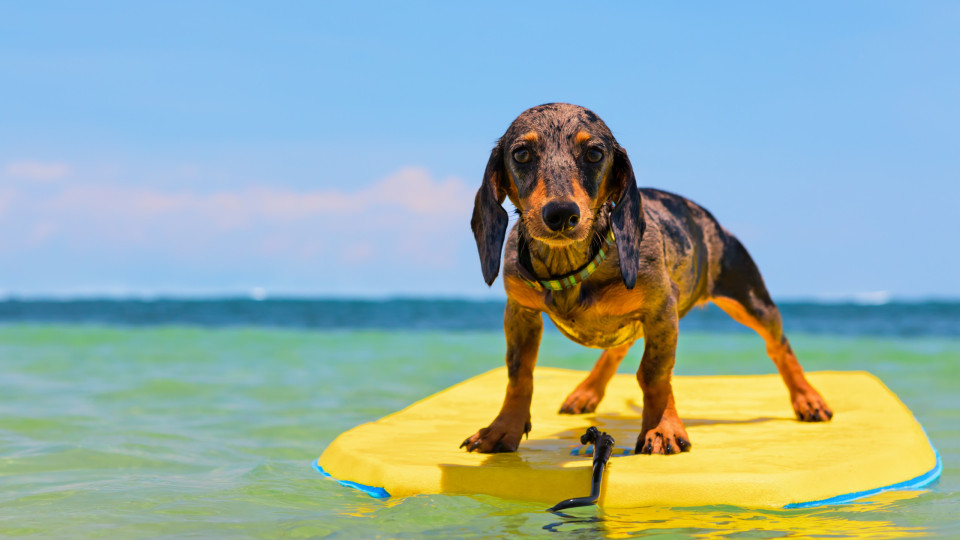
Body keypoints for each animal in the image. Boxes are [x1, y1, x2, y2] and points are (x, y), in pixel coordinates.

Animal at [462, 102, 828, 456]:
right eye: (521, 154)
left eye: (594, 153)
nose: (561, 215)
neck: (573, 265)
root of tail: (708, 218)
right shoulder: (520, 312)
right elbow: (519, 373)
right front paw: (503, 428)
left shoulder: (661, 311)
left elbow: (653, 373)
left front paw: (661, 429)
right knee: (616, 351)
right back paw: (586, 392)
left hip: (752, 301)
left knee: (779, 346)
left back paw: (808, 399)